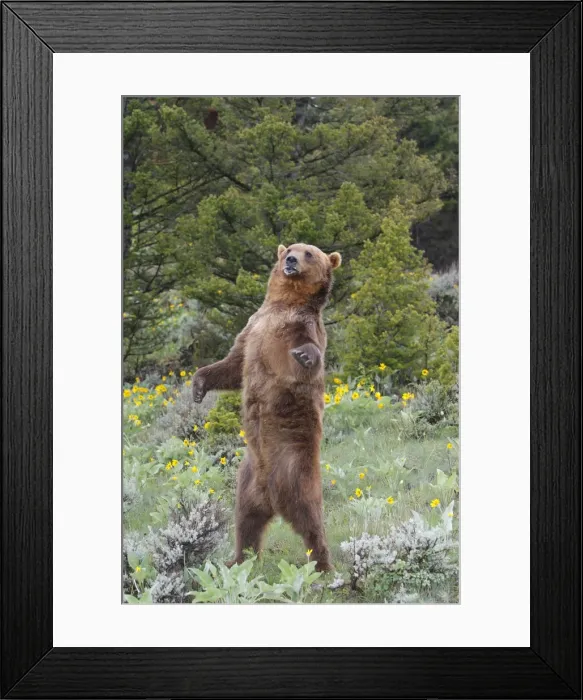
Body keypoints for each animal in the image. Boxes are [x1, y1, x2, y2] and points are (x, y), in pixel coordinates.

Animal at [192, 242, 341, 572]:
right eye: (291, 248)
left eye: (310, 253)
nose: (291, 260)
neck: (284, 303)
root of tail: (271, 496)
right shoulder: (252, 328)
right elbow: (232, 366)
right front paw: (197, 386)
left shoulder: (299, 329)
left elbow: (307, 356)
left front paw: (305, 355)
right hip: (246, 480)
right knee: (246, 522)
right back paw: (237, 560)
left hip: (295, 470)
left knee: (311, 520)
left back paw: (323, 566)